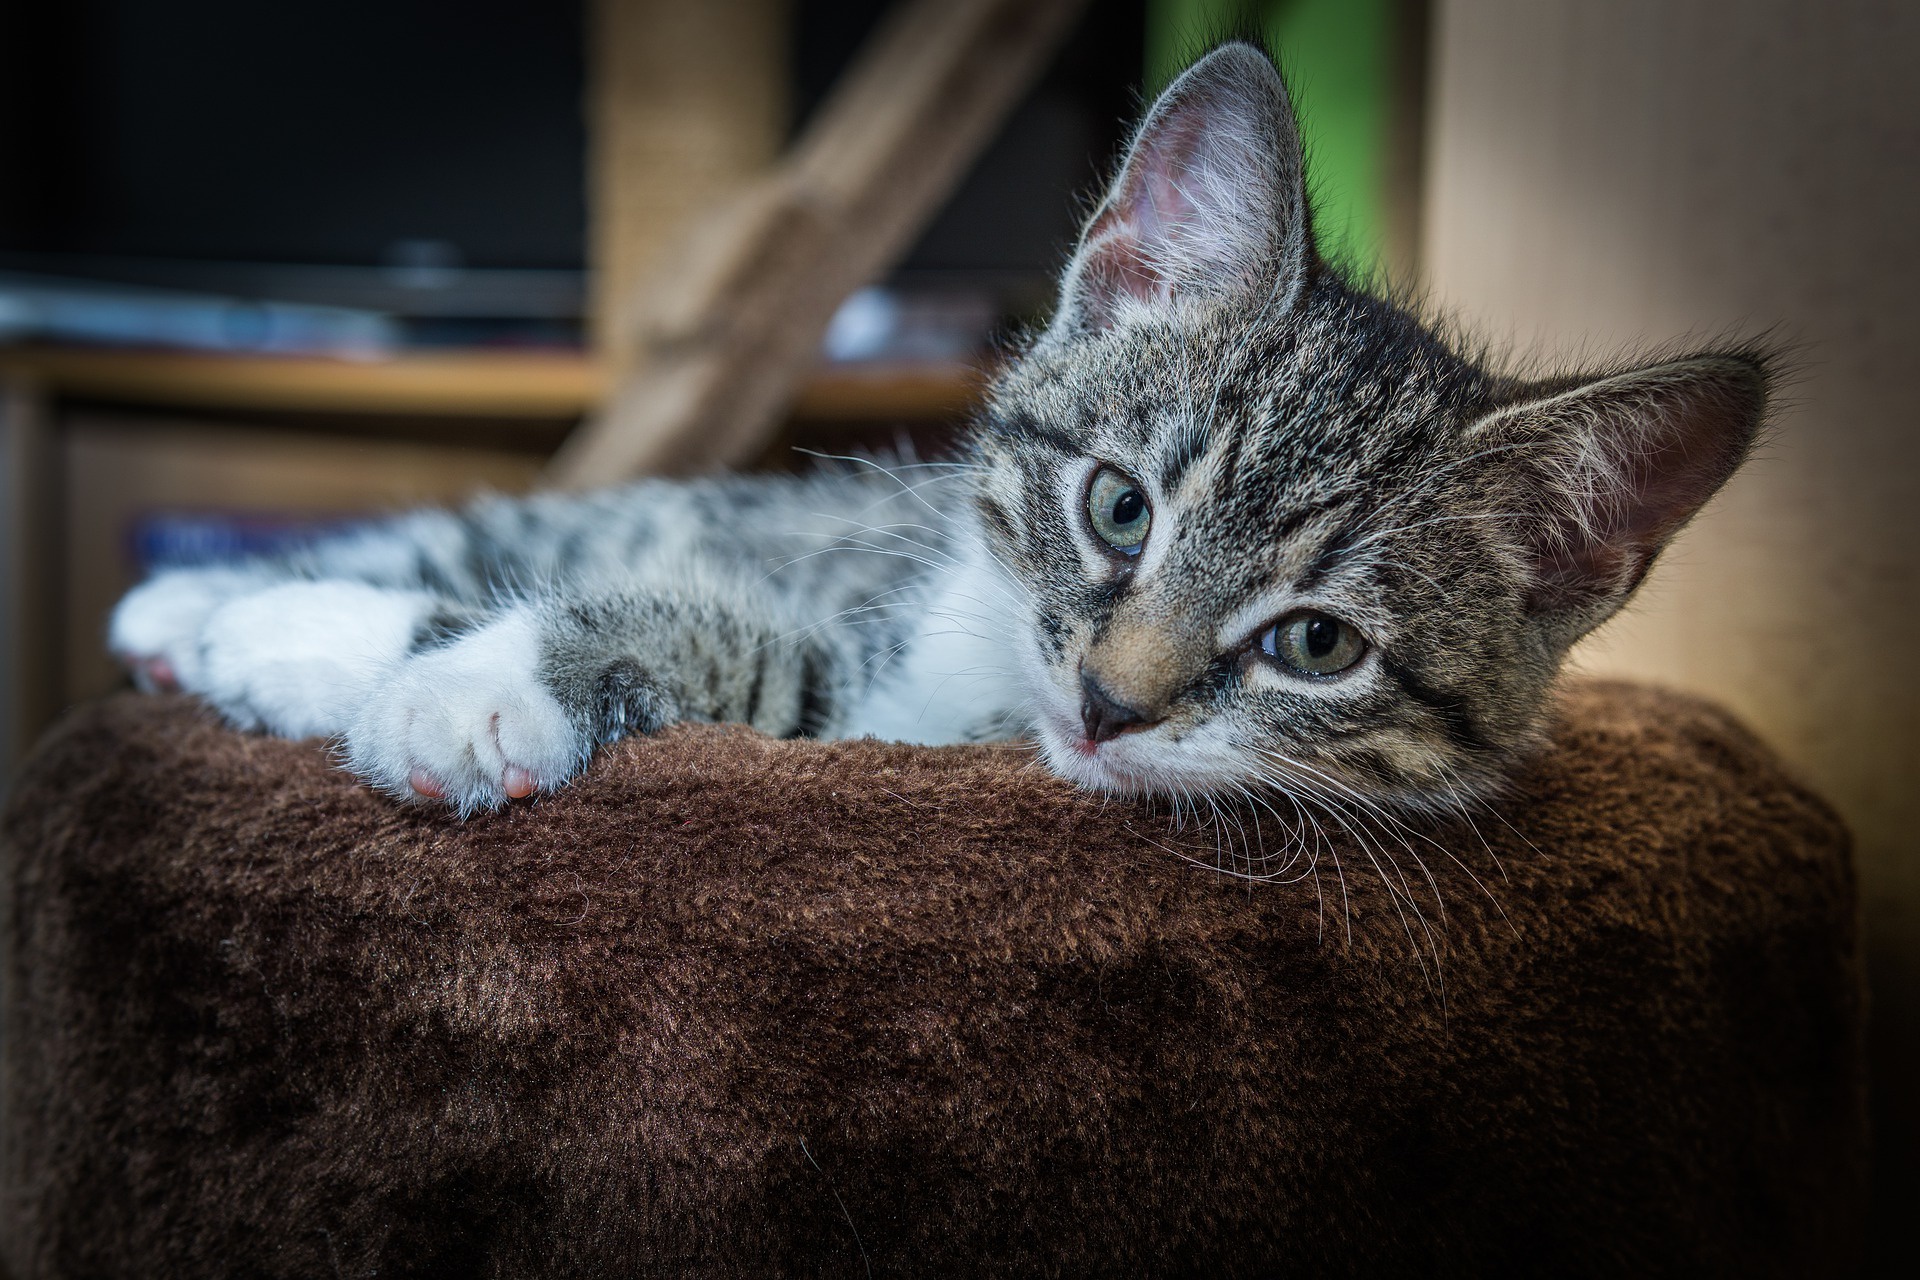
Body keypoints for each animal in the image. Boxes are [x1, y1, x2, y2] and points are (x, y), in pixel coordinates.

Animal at [112, 47, 1766, 821]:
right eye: (1118, 510)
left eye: (1316, 646)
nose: (1108, 705)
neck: (987, 680)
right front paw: (315, 637)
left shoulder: (886, 726)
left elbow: (760, 658)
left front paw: (460, 690)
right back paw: (203, 603)